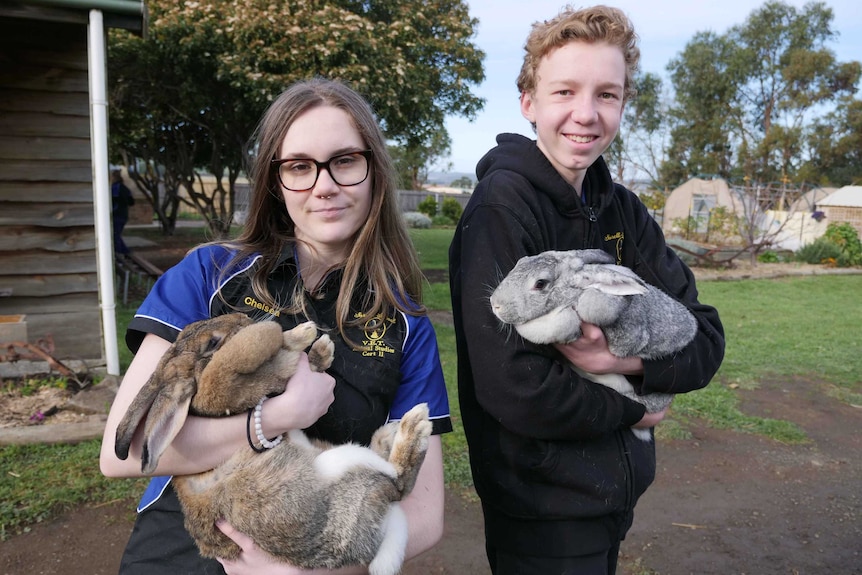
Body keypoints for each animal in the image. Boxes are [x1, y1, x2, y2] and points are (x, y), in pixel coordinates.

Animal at [115, 316, 436, 575]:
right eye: (212, 341)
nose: (243, 316)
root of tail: (388, 524)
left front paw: (319, 347)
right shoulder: (219, 386)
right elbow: (248, 348)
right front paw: (300, 332)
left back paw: (391, 432)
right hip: (340, 477)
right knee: (397, 483)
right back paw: (414, 426)